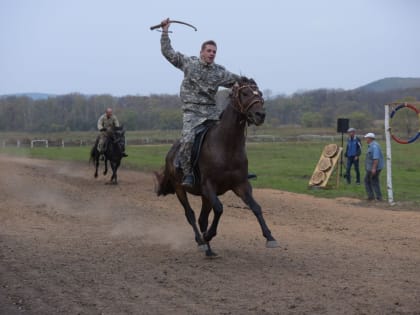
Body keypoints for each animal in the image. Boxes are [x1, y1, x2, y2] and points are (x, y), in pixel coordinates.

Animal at [154, 77, 278, 256]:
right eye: (245, 93)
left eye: (260, 93)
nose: (260, 115)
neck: (226, 147)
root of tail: (171, 153)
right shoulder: (208, 186)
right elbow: (219, 209)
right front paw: (208, 236)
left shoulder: (241, 185)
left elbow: (256, 207)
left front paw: (270, 237)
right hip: (180, 189)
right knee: (190, 215)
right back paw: (201, 242)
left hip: (204, 197)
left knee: (202, 219)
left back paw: (209, 249)